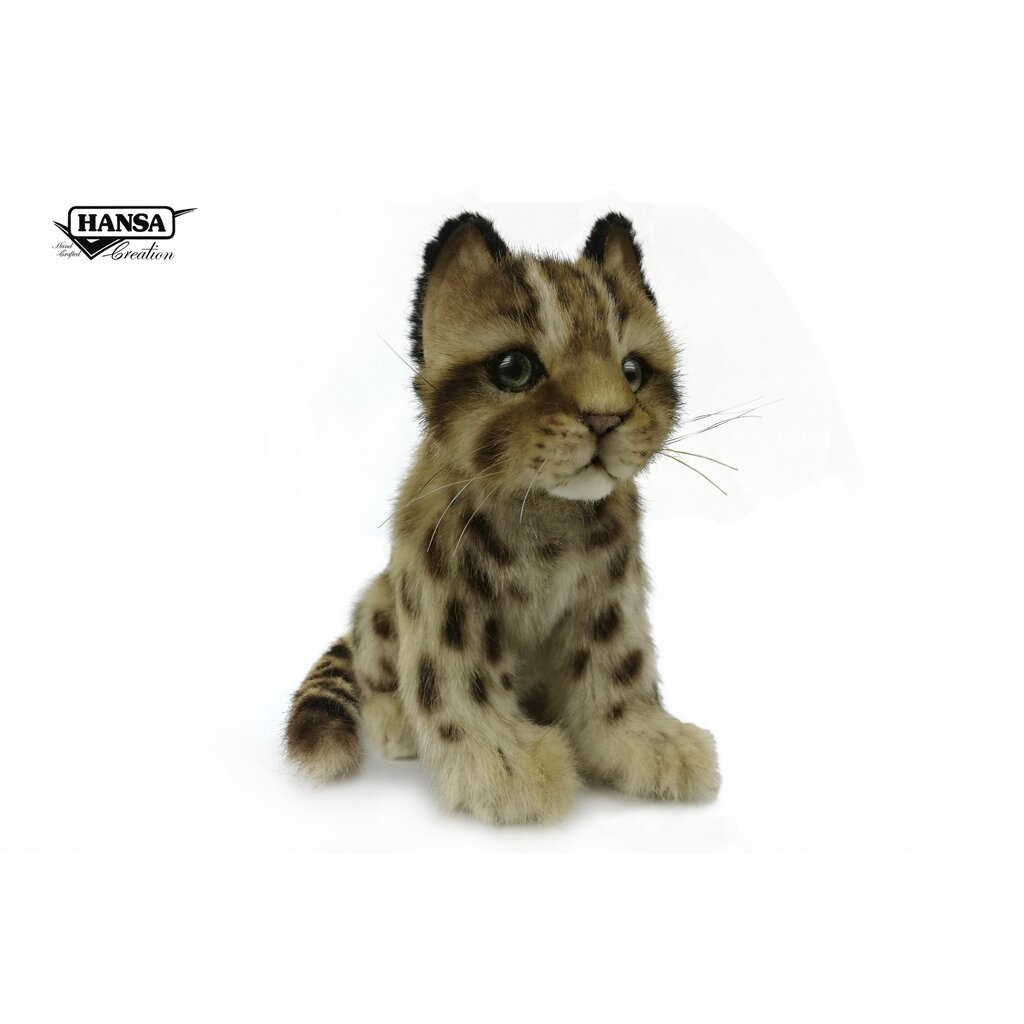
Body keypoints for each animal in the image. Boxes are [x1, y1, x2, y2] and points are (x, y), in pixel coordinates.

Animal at [284, 211, 721, 824]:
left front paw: (643, 737)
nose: (606, 418)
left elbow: (616, 664)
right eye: (514, 368)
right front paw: (502, 760)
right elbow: (456, 680)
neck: (547, 513)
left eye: (632, 370)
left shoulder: (608, 594)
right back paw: (395, 721)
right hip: (378, 600)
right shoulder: (447, 596)